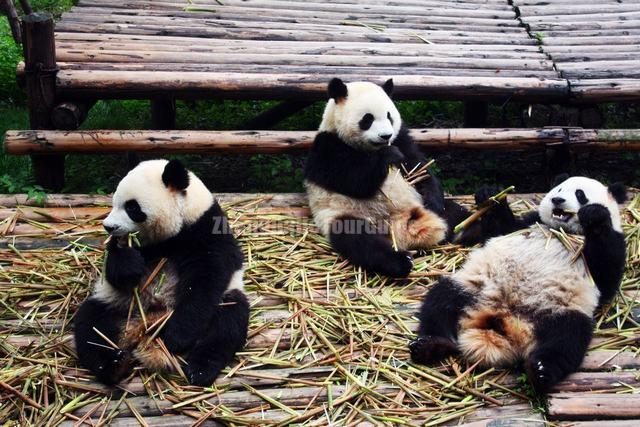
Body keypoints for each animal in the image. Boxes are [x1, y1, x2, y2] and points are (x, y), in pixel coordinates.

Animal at [72, 159, 248, 386]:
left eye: (131, 207)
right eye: (114, 201)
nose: (108, 227)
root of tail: (148, 321)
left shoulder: (206, 229)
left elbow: (207, 278)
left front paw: (176, 337)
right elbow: (114, 268)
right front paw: (129, 265)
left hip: (224, 300)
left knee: (227, 323)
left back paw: (200, 369)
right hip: (118, 304)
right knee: (91, 325)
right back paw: (114, 365)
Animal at [302, 78, 472, 280]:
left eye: (389, 116)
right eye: (367, 119)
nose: (385, 136)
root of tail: (401, 231)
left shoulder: (401, 137)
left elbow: (418, 167)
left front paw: (433, 199)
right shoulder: (327, 147)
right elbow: (354, 181)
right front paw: (388, 156)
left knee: (457, 214)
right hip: (343, 215)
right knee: (359, 240)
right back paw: (400, 261)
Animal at [410, 176, 624, 392]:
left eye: (580, 194)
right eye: (559, 189)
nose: (557, 200)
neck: (560, 230)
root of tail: (504, 321)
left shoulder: (609, 248)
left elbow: (607, 274)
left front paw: (595, 216)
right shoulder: (529, 222)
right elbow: (501, 229)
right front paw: (491, 195)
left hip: (557, 310)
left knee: (568, 336)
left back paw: (541, 371)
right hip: (474, 287)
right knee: (441, 300)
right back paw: (431, 345)